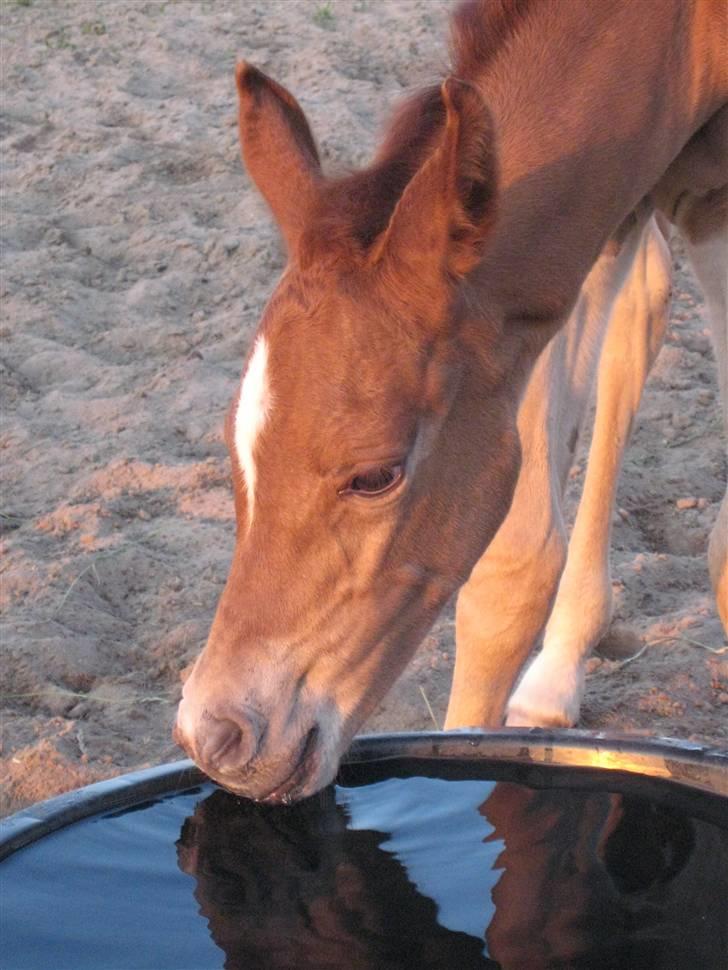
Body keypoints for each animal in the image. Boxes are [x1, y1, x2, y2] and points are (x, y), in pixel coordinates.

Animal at [176, 0, 728, 800]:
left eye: (375, 475)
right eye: (234, 448)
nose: (218, 736)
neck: (680, 31)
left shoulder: (709, 200)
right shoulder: (556, 269)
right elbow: (513, 566)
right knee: (642, 307)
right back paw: (557, 672)